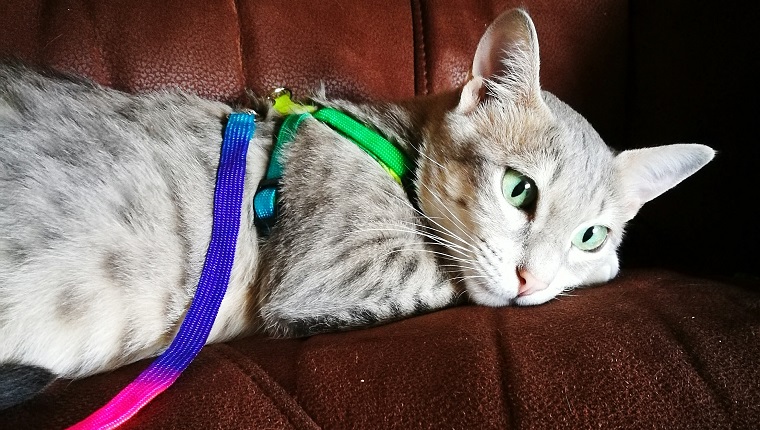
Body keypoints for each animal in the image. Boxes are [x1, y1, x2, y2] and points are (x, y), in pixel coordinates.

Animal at [0, 7, 712, 410]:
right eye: (519, 190)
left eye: (590, 236)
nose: (531, 279)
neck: (390, 141)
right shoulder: (332, 269)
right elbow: (444, 270)